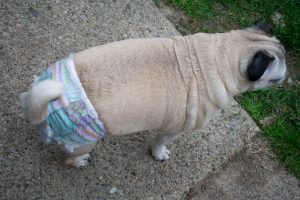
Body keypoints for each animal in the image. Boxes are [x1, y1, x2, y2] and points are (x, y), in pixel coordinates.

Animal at [19, 23, 288, 167]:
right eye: (274, 79)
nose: (287, 76)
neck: (218, 56)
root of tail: (42, 105)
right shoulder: (175, 129)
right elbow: (159, 142)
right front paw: (159, 154)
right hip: (84, 139)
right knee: (71, 157)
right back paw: (79, 161)